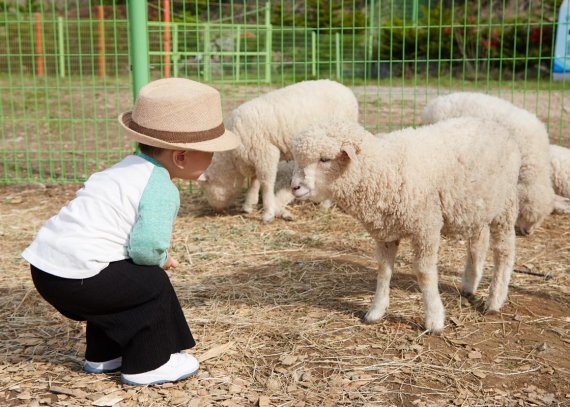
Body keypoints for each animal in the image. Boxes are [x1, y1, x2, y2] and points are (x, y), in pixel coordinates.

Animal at [200, 79, 358, 223]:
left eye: (206, 186)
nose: (214, 209)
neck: (232, 158)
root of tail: (346, 90)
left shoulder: (266, 152)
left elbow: (266, 184)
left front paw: (268, 213)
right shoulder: (255, 156)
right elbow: (255, 180)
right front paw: (249, 204)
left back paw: (325, 204)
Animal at [292, 116, 520, 334]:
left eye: (325, 159)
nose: (294, 187)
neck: (384, 168)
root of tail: (495, 124)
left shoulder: (426, 226)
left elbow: (424, 273)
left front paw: (434, 319)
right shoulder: (386, 232)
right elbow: (384, 270)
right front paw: (376, 310)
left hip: (505, 205)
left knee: (504, 251)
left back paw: (495, 300)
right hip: (476, 207)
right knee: (478, 242)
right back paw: (469, 285)